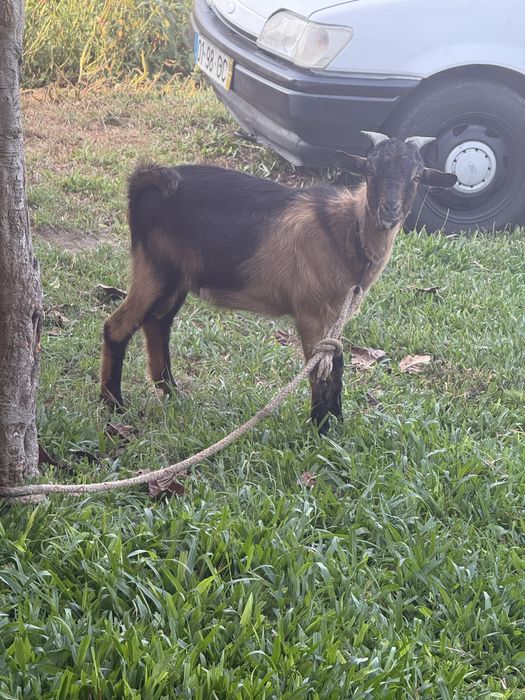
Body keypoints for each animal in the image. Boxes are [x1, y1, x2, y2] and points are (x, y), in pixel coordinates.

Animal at [100, 132, 457, 432]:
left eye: (417, 176)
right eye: (370, 169)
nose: (389, 210)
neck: (344, 232)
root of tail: (145, 181)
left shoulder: (335, 315)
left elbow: (337, 364)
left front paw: (336, 424)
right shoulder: (311, 311)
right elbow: (318, 372)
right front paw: (319, 429)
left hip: (175, 278)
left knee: (157, 323)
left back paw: (171, 392)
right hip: (153, 268)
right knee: (118, 327)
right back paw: (113, 405)